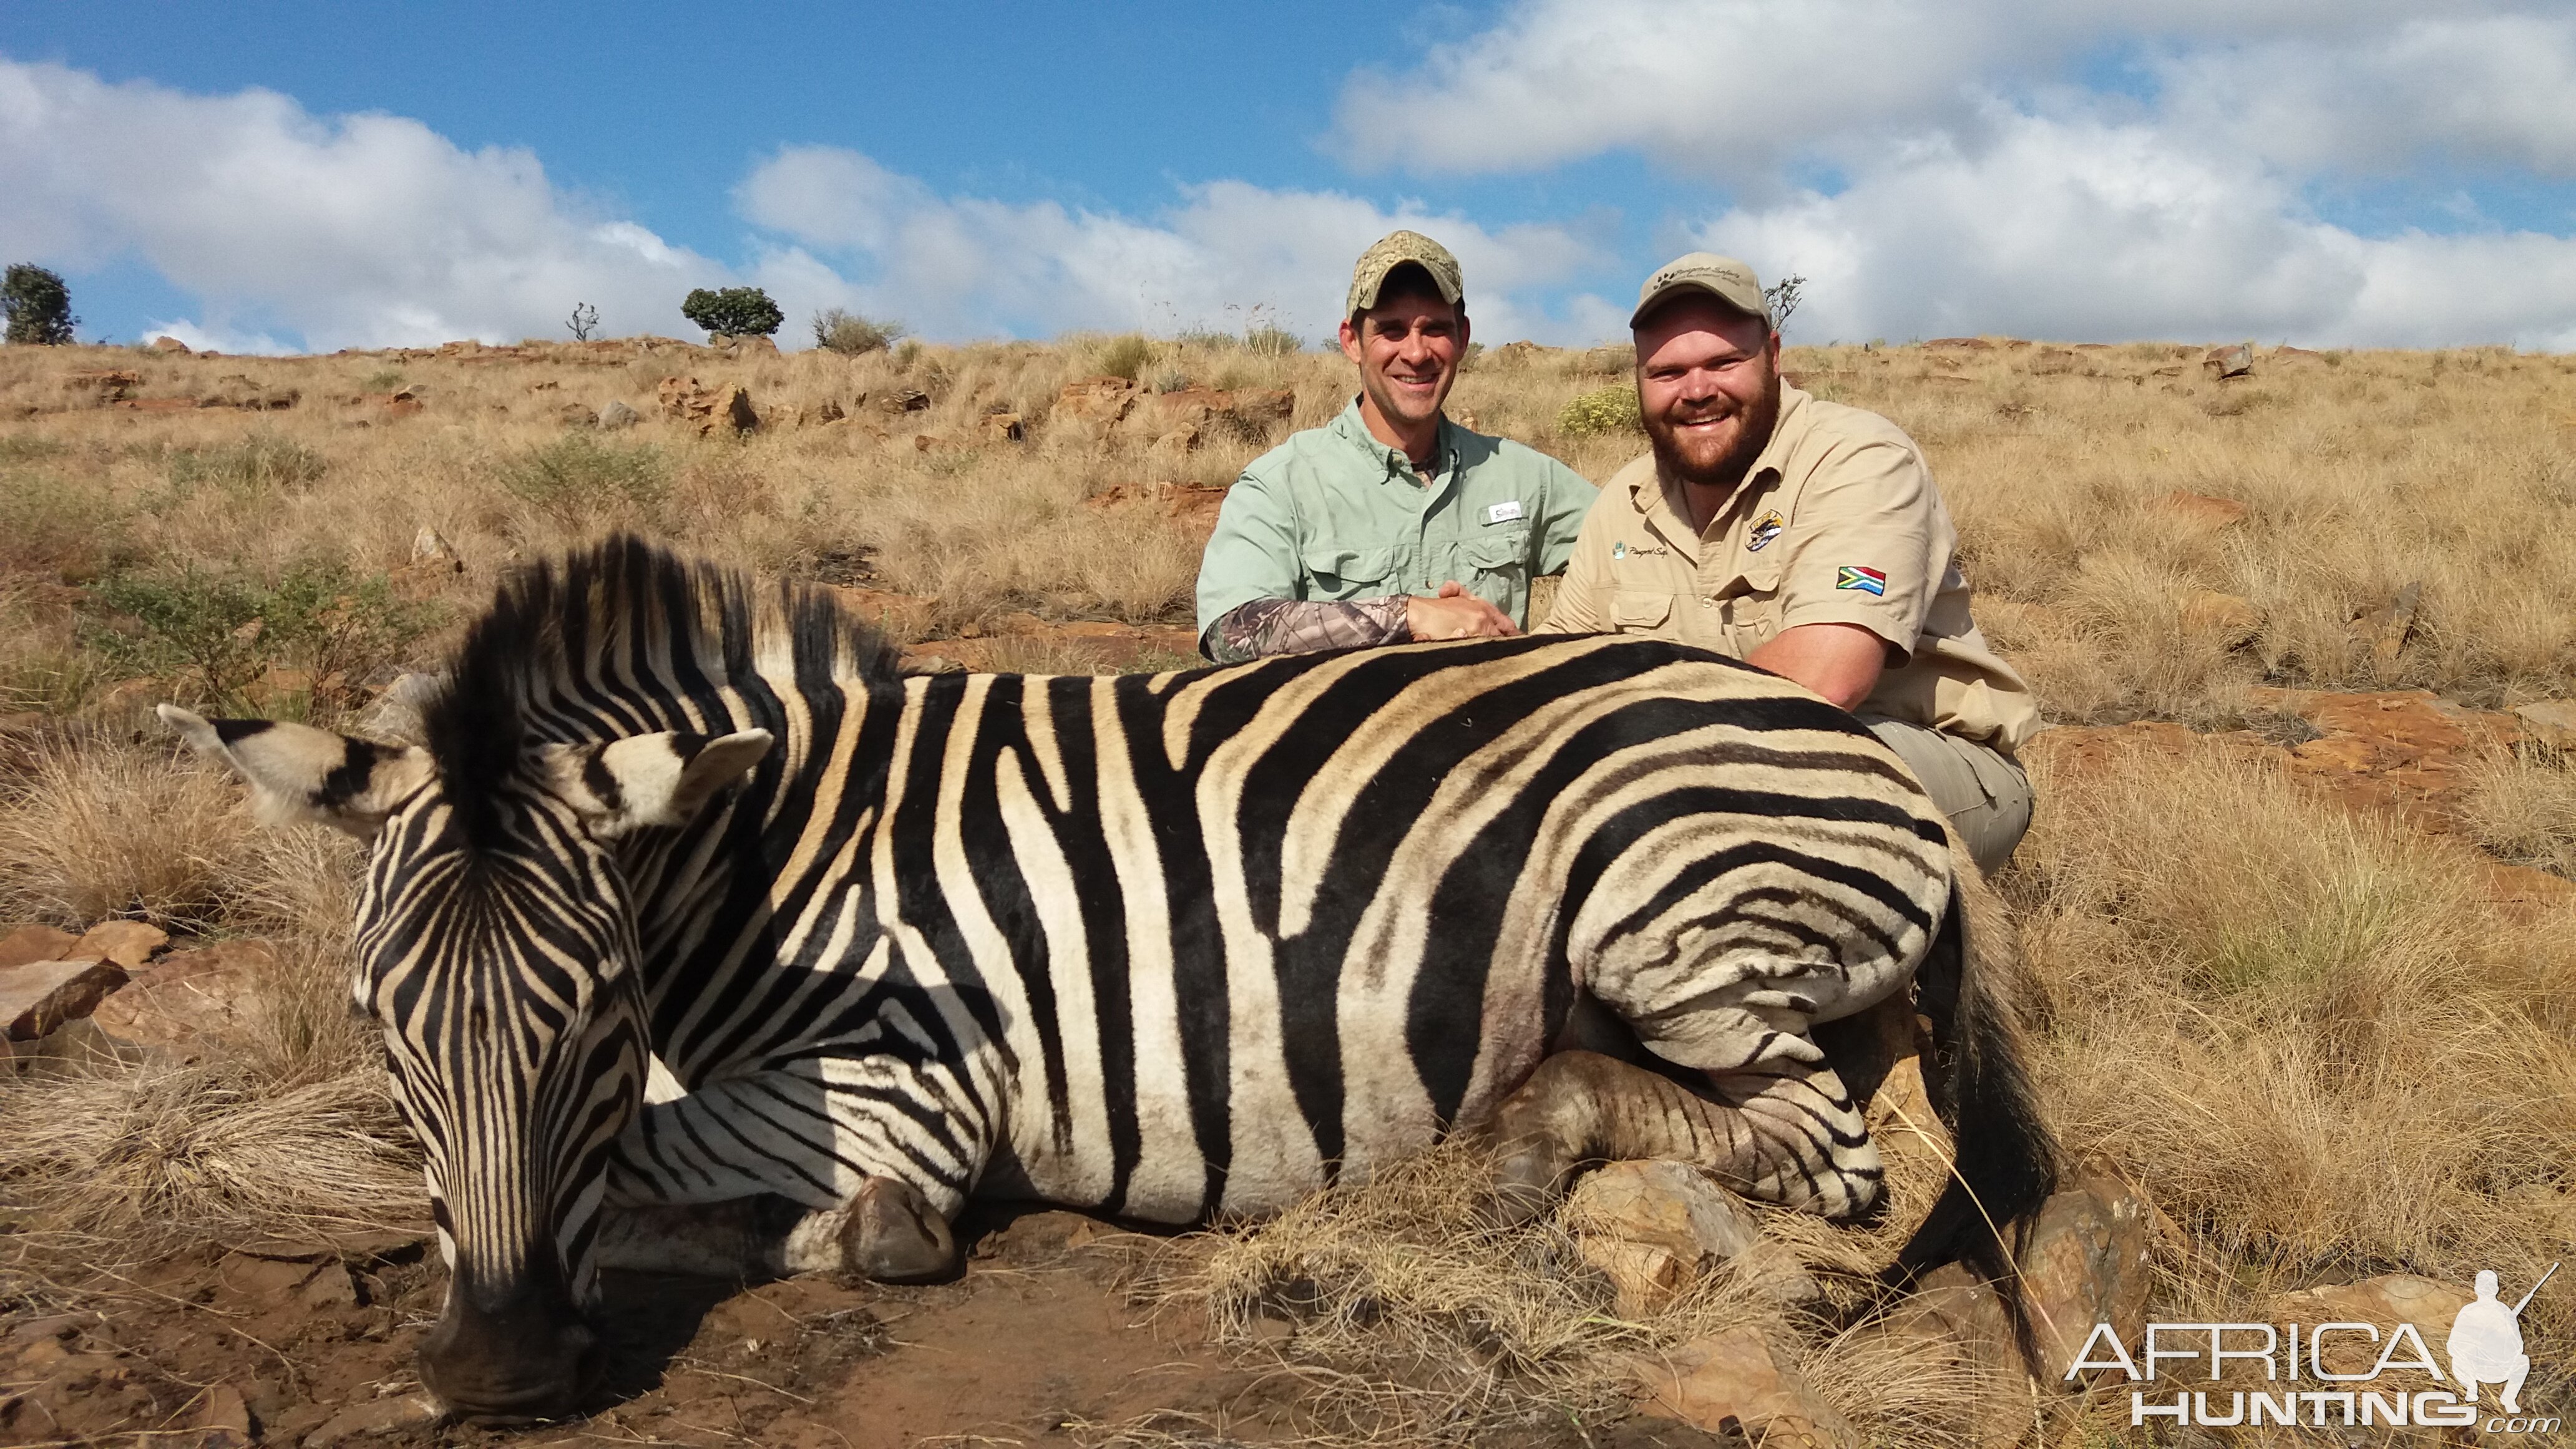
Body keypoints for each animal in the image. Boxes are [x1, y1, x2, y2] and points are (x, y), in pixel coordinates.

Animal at [161, 536, 2050, 1413]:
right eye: (377, 1029)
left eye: (595, 1022)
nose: (490, 1374)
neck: (760, 861)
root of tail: (1857, 752)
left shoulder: (914, 1079)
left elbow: (658, 1171)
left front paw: (848, 1233)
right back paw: (1507, 1148)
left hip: (1671, 918)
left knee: (1842, 1156)